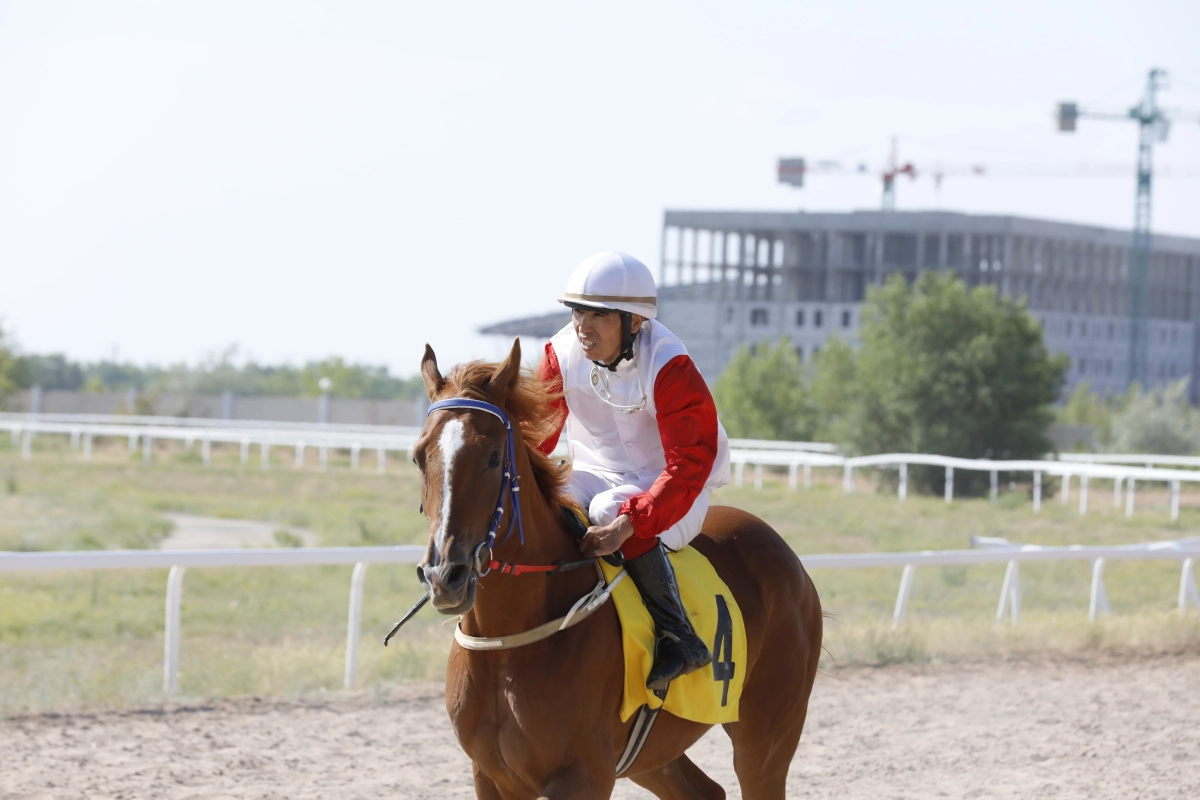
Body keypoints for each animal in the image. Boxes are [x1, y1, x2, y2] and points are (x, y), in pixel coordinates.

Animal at [415, 340, 825, 800]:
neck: (508, 646)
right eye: (418, 457)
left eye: (491, 458)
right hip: (654, 755)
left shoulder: (584, 776)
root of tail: (788, 558)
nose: (445, 576)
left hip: (767, 737)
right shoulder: (491, 776)